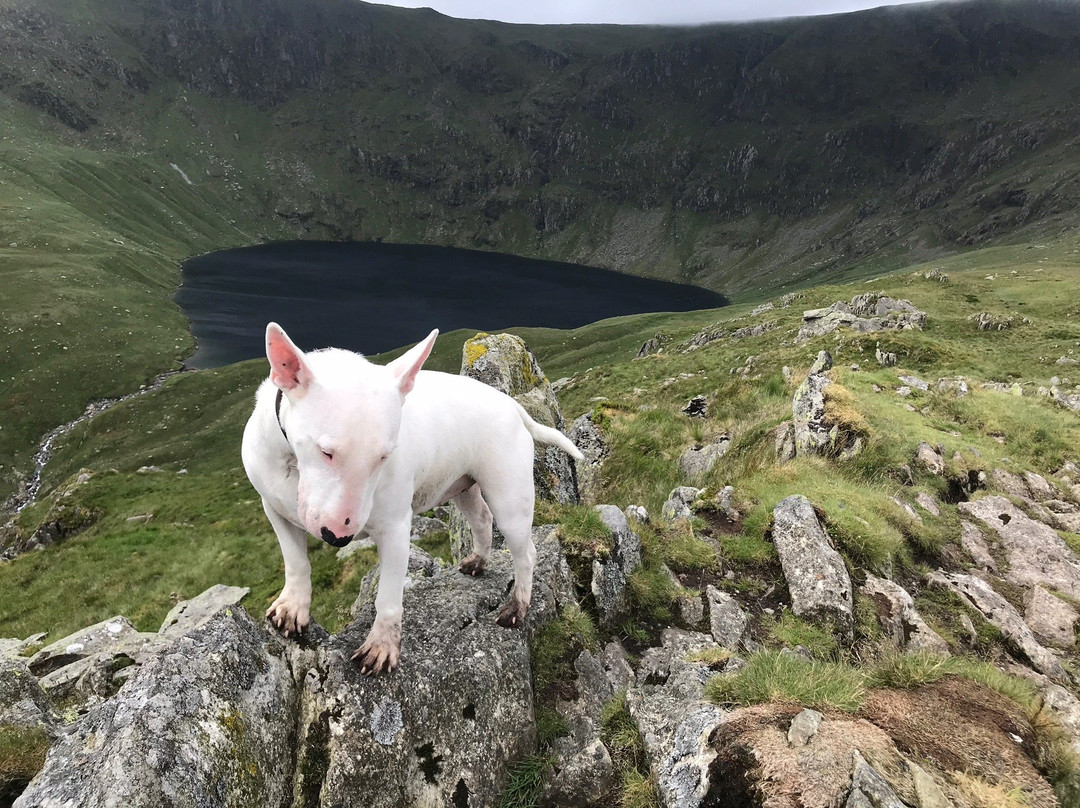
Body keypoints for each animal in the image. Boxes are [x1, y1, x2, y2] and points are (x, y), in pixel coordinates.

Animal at [241, 324, 587, 674]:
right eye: (326, 451)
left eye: (384, 456)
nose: (338, 537)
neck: (293, 464)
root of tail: (512, 406)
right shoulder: (274, 509)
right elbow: (296, 561)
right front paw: (292, 609)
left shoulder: (395, 527)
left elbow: (388, 595)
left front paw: (381, 647)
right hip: (463, 485)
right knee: (482, 519)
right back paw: (478, 561)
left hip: (509, 496)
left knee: (525, 551)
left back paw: (517, 606)